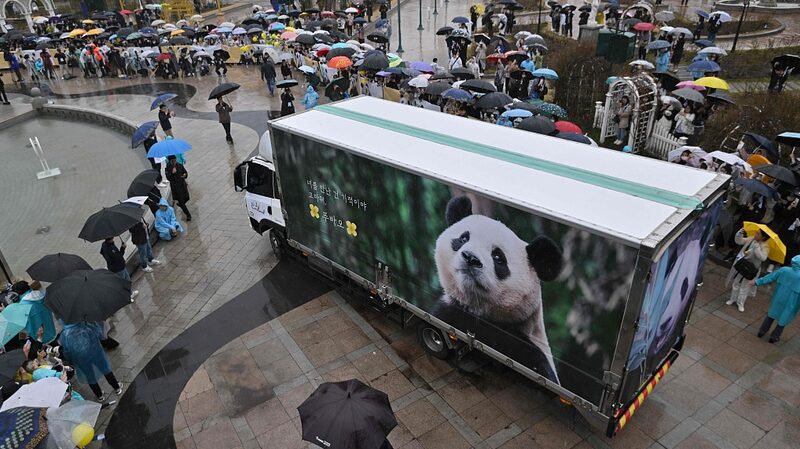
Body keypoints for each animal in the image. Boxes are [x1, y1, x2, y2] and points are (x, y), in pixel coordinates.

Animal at [433, 196, 563, 384]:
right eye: (464, 238)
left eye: (498, 256)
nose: (471, 258)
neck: (478, 311)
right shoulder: (447, 310)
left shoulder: (526, 350)